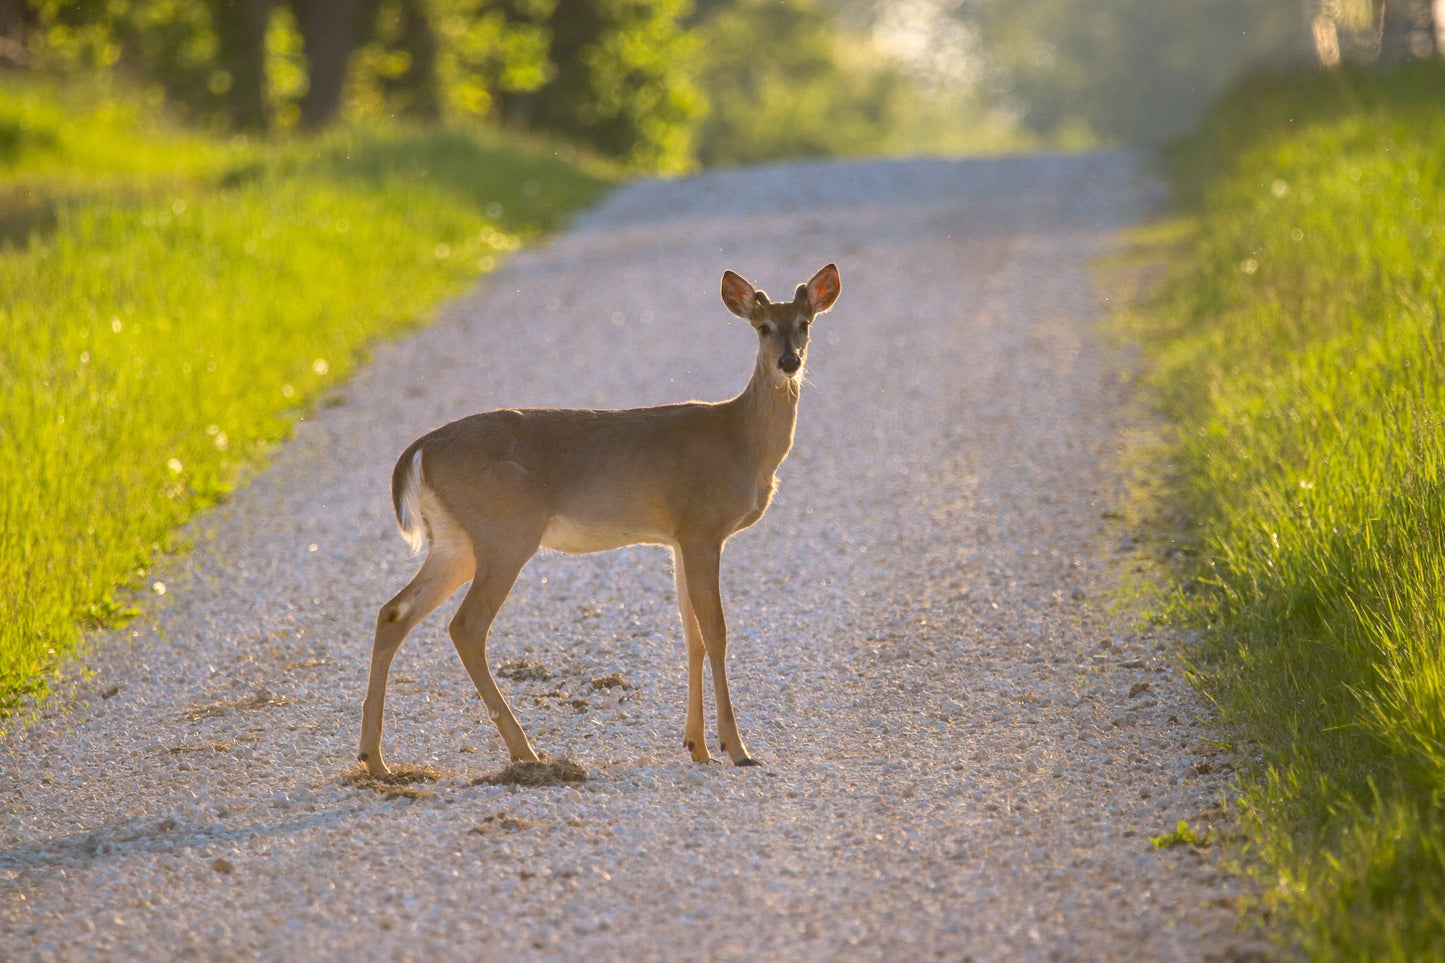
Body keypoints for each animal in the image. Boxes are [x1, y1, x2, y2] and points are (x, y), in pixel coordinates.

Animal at [354, 260, 843, 775]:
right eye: (762, 327)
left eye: (804, 323)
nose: (789, 362)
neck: (742, 442)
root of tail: (418, 451)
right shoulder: (702, 528)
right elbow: (716, 632)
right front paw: (737, 747)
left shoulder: (678, 538)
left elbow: (691, 635)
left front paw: (697, 745)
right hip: (505, 532)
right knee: (465, 626)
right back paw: (525, 751)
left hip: (455, 540)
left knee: (393, 612)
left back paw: (375, 758)